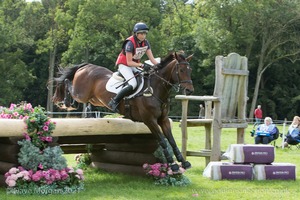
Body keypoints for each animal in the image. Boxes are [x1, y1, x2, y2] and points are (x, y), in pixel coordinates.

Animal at [52, 51, 195, 170]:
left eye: (190, 70)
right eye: (181, 70)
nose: (190, 91)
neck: (155, 89)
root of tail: (86, 66)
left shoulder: (163, 120)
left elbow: (171, 140)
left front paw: (183, 162)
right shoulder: (150, 121)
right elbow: (163, 141)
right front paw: (172, 164)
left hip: (94, 99)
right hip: (81, 93)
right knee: (68, 82)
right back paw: (66, 102)